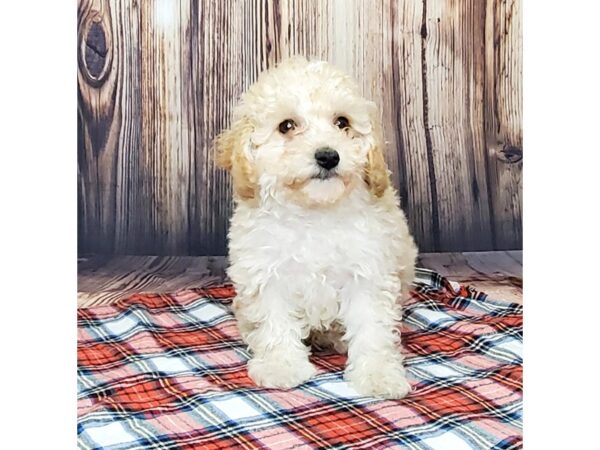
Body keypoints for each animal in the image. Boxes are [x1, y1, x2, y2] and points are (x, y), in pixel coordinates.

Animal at [216, 56, 418, 398]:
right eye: (286, 126)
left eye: (342, 122)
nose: (328, 156)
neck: (314, 212)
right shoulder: (267, 273)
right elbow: (274, 321)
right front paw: (281, 365)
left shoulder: (368, 273)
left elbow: (373, 328)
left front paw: (378, 375)